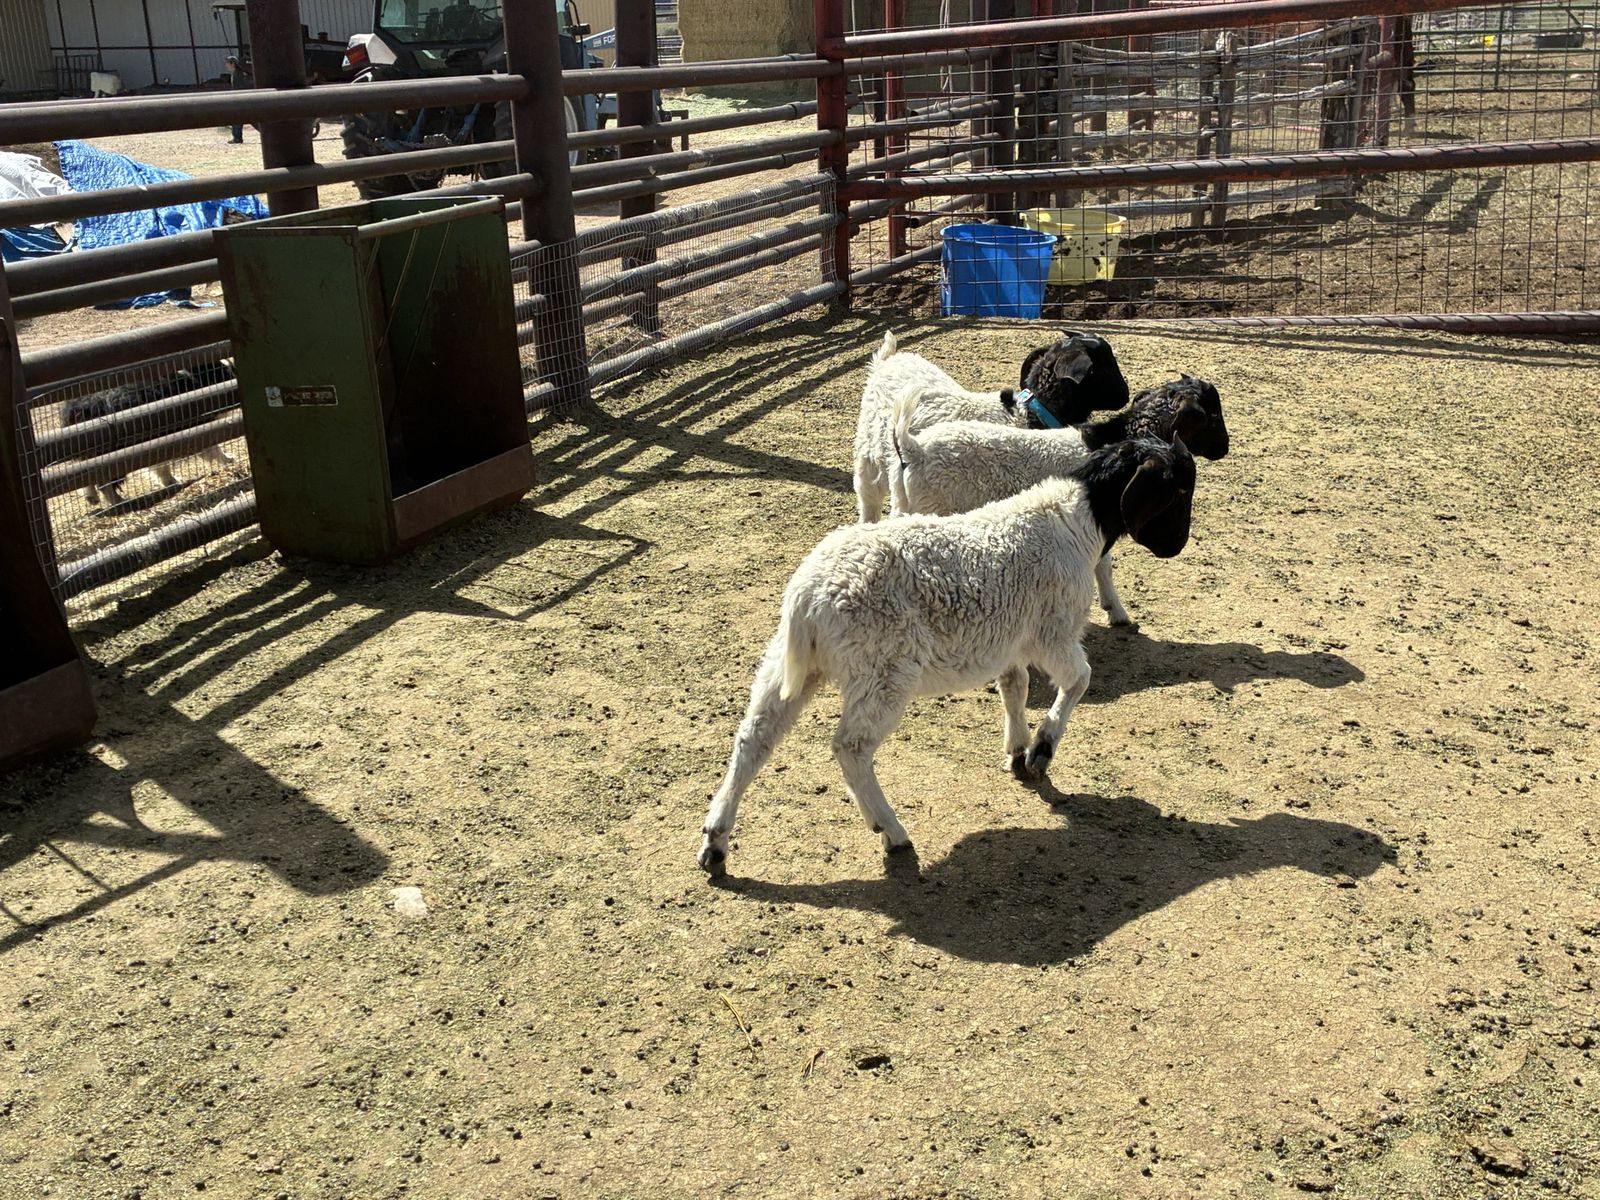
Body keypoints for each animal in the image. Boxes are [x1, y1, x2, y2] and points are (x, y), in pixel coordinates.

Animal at [62, 359, 238, 509]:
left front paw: (172, 481)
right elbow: (212, 448)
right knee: (104, 481)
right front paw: (230, 459)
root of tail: (77, 408)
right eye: (225, 372)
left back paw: (93, 499)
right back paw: (120, 502)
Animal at [698, 435, 1196, 878]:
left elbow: (1015, 688)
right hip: (883, 666)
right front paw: (1041, 749)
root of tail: (808, 596)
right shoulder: (1051, 633)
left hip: (791, 663)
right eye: (1178, 488)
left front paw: (1017, 750)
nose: (1177, 547)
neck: (1077, 519)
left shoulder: (1010, 640)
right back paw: (891, 830)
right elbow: (1079, 680)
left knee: (754, 737)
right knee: (850, 747)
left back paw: (716, 842)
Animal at [852, 329, 1128, 523]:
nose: (1126, 395)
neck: (1029, 414)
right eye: (1105, 365)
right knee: (868, 501)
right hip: (868, 458)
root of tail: (888, 359)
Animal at [892, 374, 1228, 627]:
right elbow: (1104, 566)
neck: (1113, 440)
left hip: (902, 506)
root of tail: (915, 451)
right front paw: (1118, 613)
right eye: (1211, 415)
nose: (1224, 447)